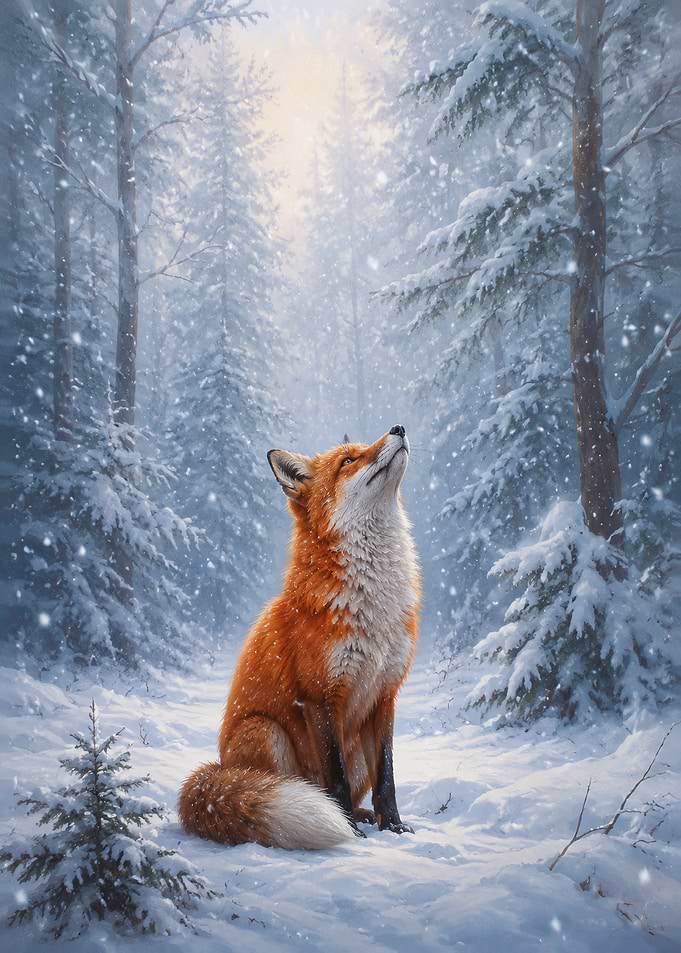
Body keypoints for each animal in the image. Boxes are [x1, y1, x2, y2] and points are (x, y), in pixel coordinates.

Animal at [178, 425, 420, 849]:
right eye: (348, 460)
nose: (399, 428)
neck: (372, 607)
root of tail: (218, 768)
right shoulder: (320, 695)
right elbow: (335, 781)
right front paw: (350, 833)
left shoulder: (384, 694)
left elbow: (386, 779)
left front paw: (393, 827)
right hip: (266, 732)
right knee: (297, 788)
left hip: (354, 747)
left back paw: (364, 815)